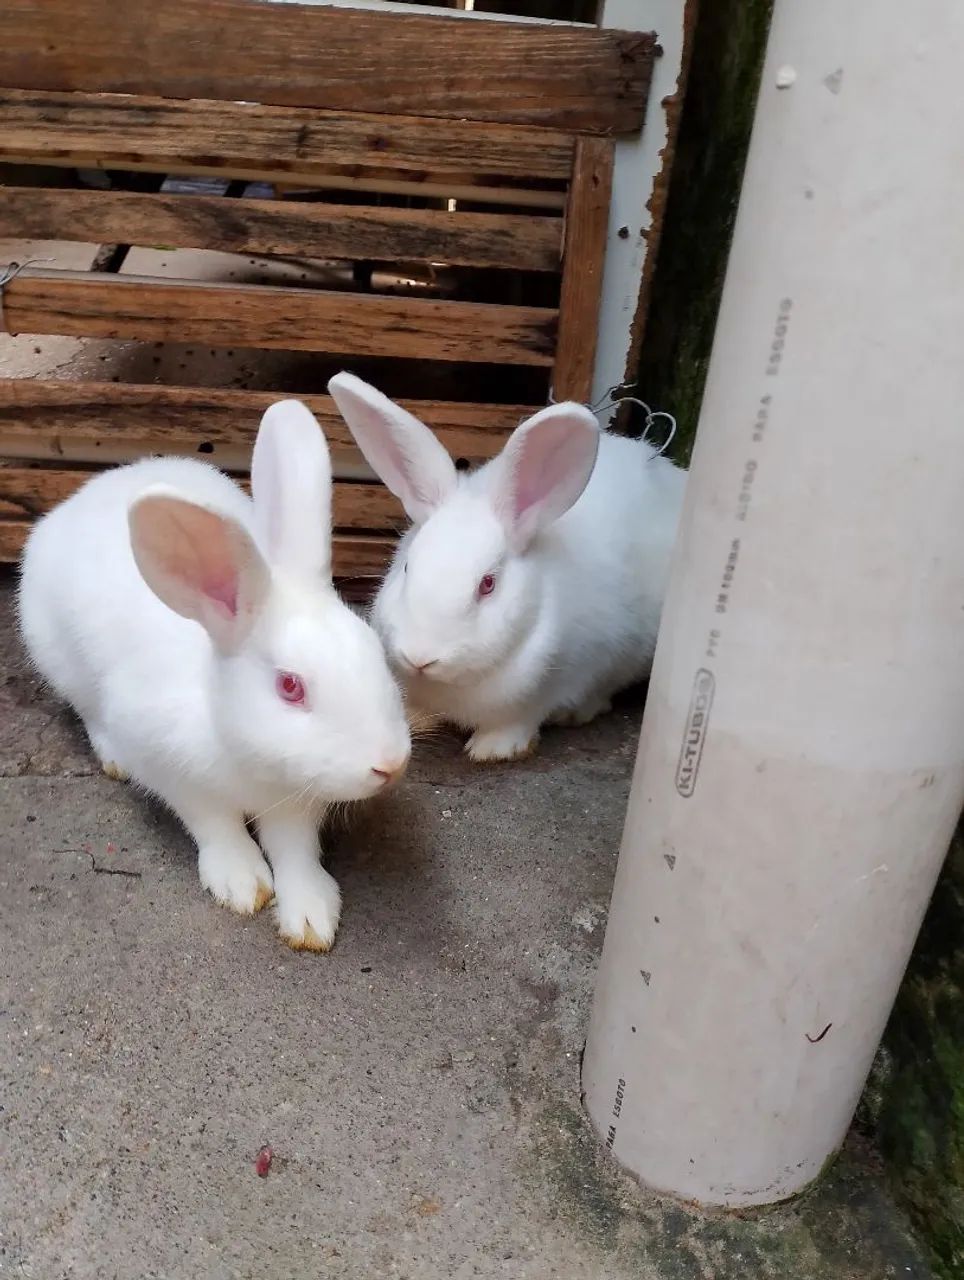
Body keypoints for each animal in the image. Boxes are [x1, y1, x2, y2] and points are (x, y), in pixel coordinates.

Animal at [17, 400, 411, 951]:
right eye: (290, 687)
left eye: (374, 651)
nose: (391, 764)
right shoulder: (174, 772)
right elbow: (215, 825)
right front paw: (241, 882)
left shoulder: (296, 800)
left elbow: (294, 849)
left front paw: (310, 914)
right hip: (60, 659)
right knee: (89, 712)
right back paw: (112, 757)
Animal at [327, 373, 686, 763]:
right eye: (407, 568)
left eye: (488, 584)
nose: (420, 657)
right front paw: (414, 719)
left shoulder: (549, 686)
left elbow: (520, 720)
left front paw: (493, 749)